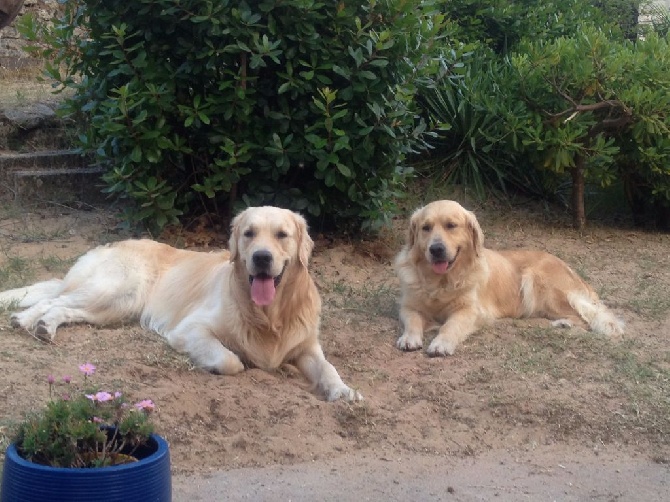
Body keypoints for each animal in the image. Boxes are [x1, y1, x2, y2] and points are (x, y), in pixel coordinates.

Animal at [0, 206, 362, 402]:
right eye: (249, 233)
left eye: (282, 235)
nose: (261, 258)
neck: (269, 315)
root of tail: (112, 243)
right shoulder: (191, 329)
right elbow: (232, 361)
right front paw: (221, 363)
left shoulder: (306, 347)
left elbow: (328, 368)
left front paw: (344, 391)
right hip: (117, 290)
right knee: (55, 297)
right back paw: (29, 320)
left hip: (112, 308)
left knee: (63, 305)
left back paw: (42, 325)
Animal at [396, 200, 628, 356]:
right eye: (426, 228)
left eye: (451, 225)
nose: (436, 249)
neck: (441, 280)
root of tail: (569, 268)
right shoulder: (408, 306)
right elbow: (413, 321)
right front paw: (409, 338)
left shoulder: (470, 310)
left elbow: (451, 325)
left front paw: (441, 343)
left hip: (537, 279)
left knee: (583, 317)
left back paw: (564, 324)